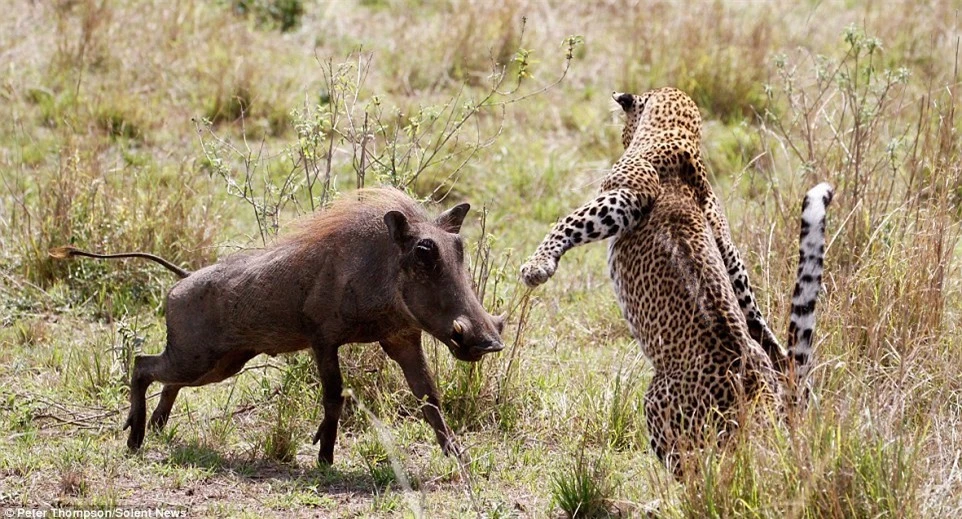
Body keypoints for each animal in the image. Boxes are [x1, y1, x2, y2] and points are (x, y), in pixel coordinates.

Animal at [520, 88, 828, 476]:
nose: (621, 138)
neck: (676, 133)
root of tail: (759, 398)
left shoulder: (628, 196)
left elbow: (571, 219)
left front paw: (536, 266)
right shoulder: (725, 242)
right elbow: (753, 310)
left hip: (660, 404)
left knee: (701, 473)